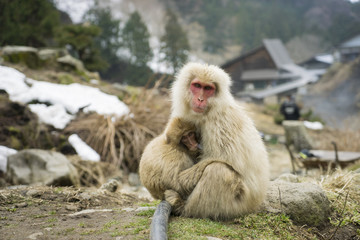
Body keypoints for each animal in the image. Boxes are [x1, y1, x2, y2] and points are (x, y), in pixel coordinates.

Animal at [165, 62, 268, 219]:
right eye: (197, 85)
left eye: (208, 88)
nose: (200, 99)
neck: (209, 111)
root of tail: (255, 204)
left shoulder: (219, 123)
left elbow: (224, 157)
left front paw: (179, 179)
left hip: (239, 204)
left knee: (217, 170)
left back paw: (185, 209)